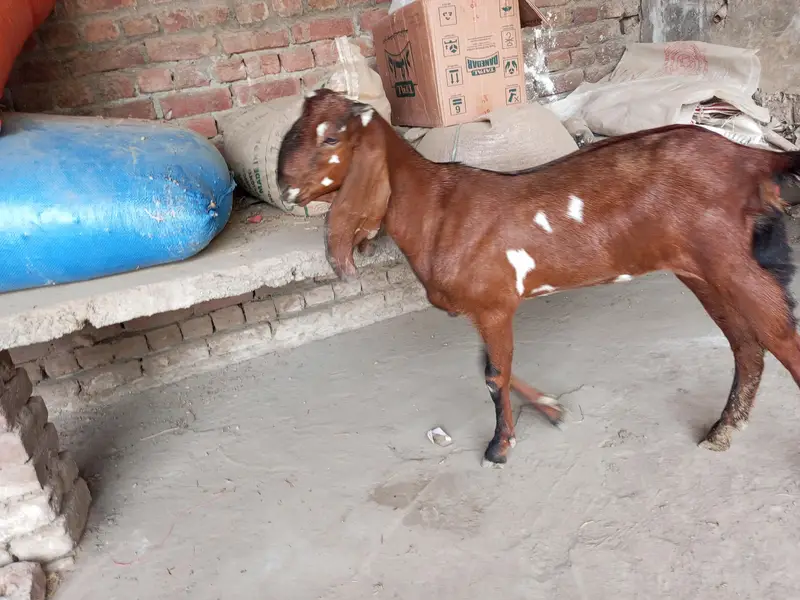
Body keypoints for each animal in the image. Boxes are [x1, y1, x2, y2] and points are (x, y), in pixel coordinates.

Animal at [277, 88, 800, 468]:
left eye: (330, 139)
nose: (284, 188)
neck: (438, 208)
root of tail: (749, 161)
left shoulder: (493, 305)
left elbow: (493, 375)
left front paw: (500, 446)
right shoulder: (488, 306)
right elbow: (489, 366)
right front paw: (551, 407)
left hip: (731, 264)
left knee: (781, 339)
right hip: (703, 272)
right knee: (747, 346)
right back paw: (723, 429)